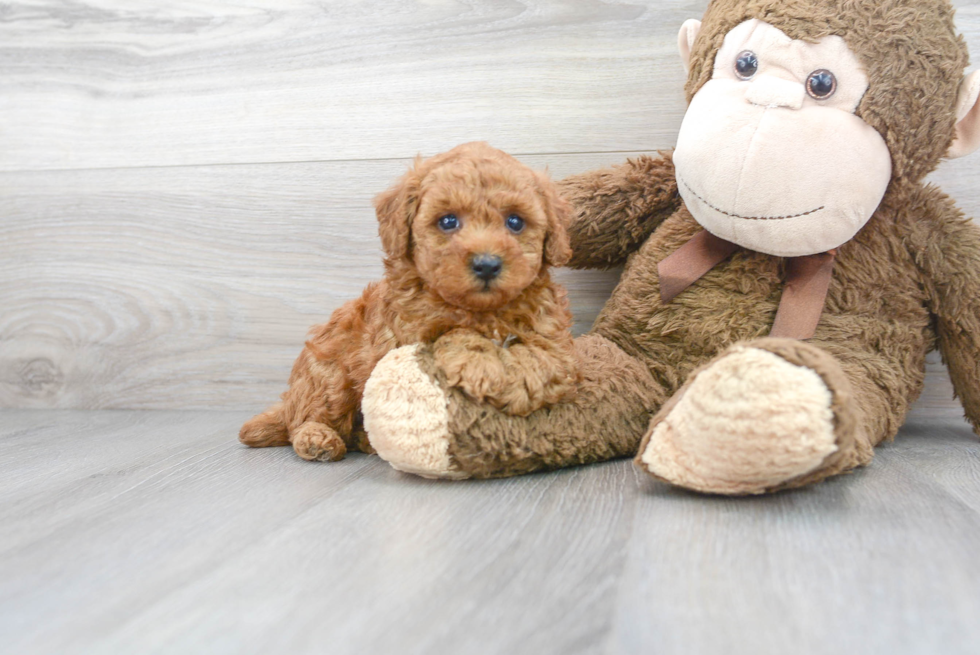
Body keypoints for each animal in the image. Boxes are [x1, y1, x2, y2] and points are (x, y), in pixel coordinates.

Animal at [240, 144, 580, 462]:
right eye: (448, 221)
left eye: (515, 222)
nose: (486, 265)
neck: (482, 310)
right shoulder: (412, 331)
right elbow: (453, 333)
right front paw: (481, 365)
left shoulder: (554, 334)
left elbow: (546, 355)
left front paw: (523, 381)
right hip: (330, 373)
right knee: (307, 417)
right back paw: (317, 438)